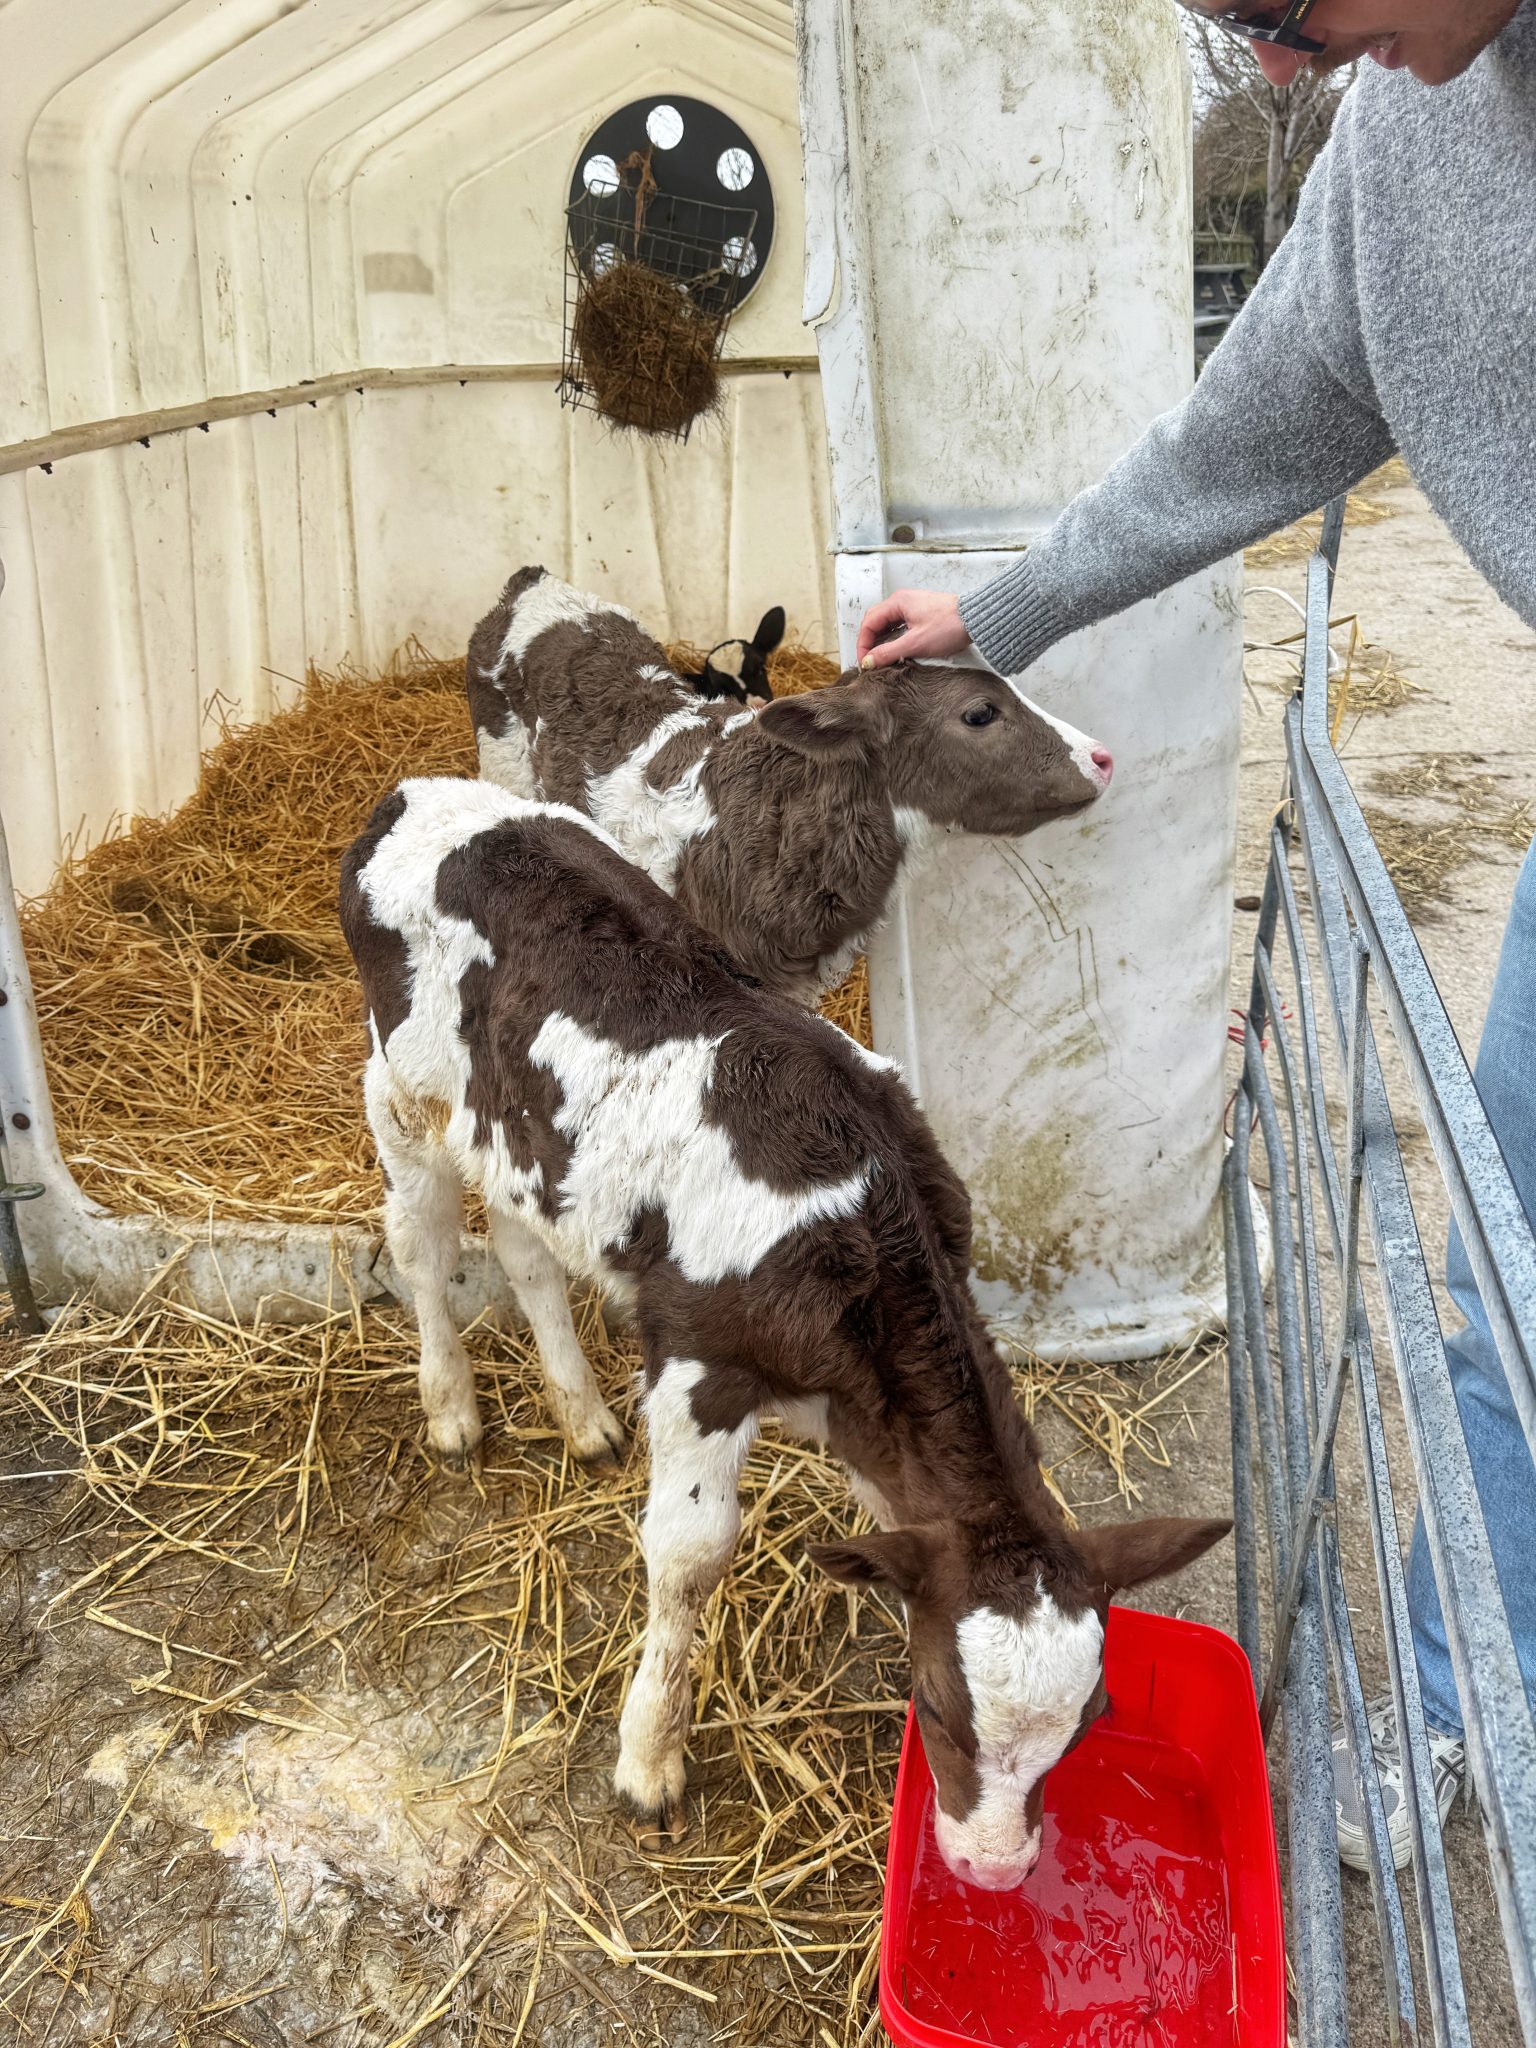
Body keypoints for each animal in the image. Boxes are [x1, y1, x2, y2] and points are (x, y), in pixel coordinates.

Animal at [339, 779, 1226, 1885]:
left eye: (1090, 1720)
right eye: (938, 1705)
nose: (992, 1868)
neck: (857, 1207)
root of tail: (413, 792)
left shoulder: (864, 1400)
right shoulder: (699, 1359)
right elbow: (690, 1553)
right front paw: (648, 1760)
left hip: (512, 1132)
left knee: (523, 1243)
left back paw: (580, 1413)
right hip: (400, 1089)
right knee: (417, 1240)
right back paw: (452, 1406)